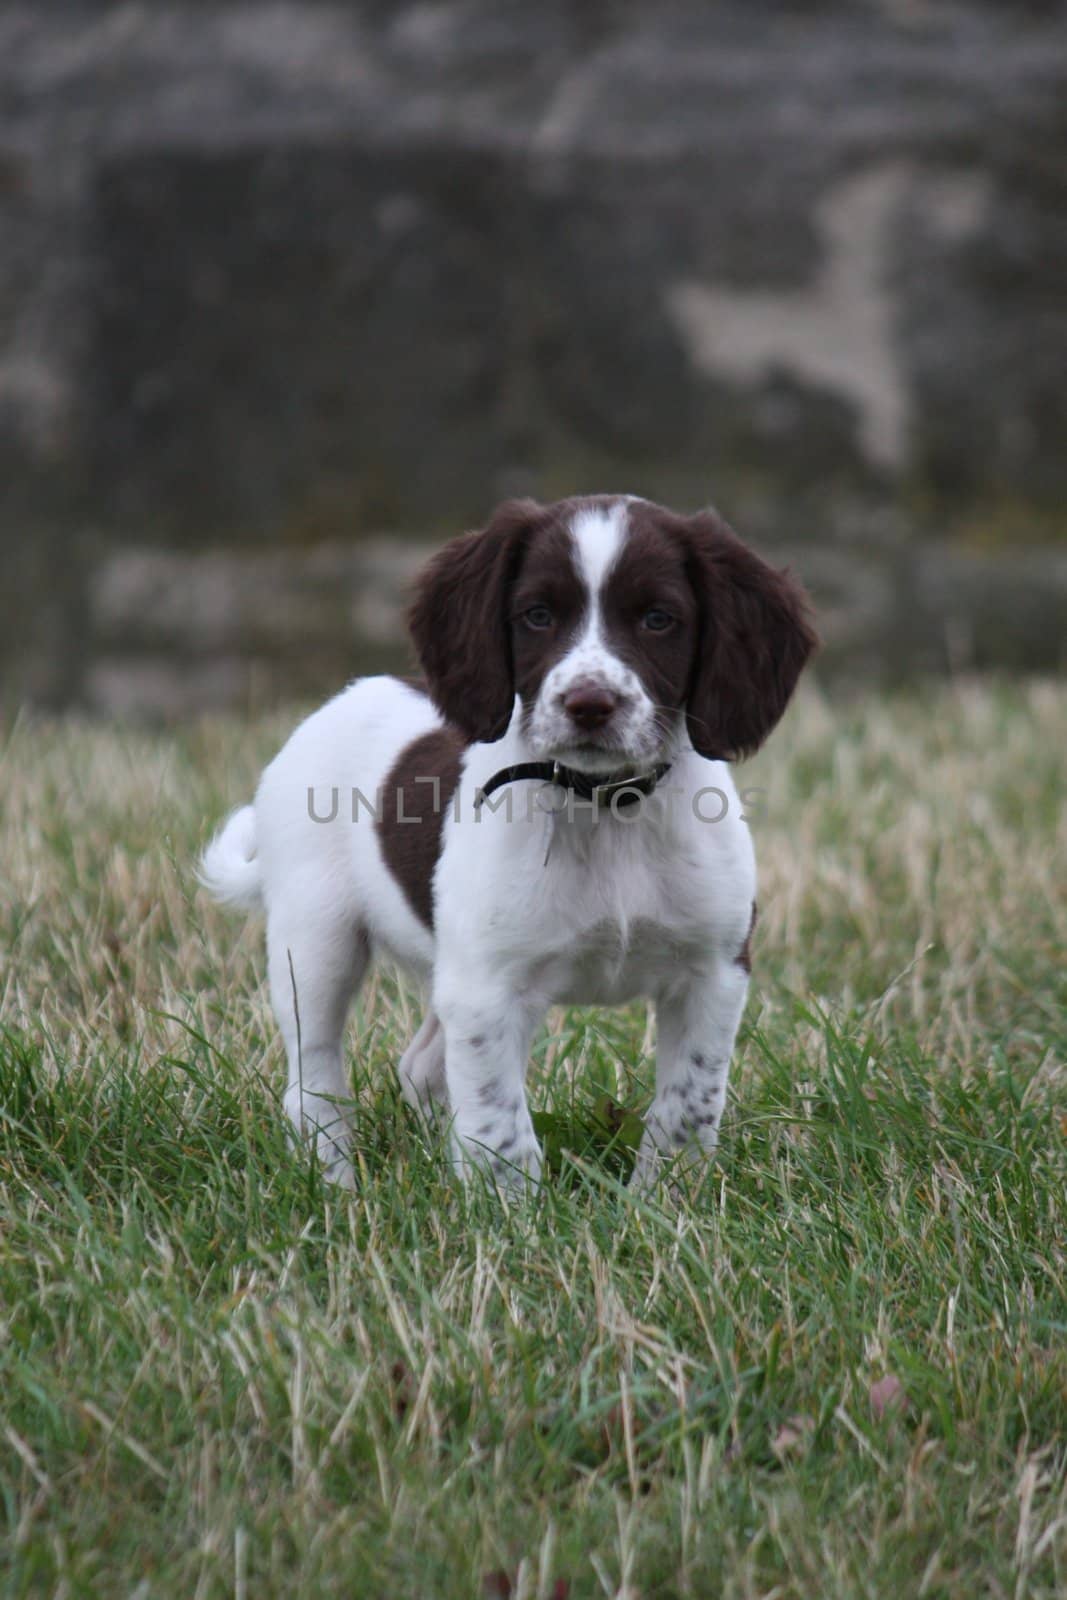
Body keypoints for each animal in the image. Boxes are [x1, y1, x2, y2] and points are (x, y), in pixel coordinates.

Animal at [202, 496, 819, 1190]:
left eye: (659, 619)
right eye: (537, 615)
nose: (589, 703)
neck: (605, 807)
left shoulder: (713, 972)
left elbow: (687, 1106)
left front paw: (665, 1200)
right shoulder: (487, 988)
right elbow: (499, 1128)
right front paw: (511, 1213)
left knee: (421, 1066)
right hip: (315, 939)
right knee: (313, 1077)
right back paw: (337, 1185)